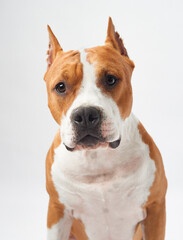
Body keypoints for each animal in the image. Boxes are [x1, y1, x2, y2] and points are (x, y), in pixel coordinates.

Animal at [44, 17, 167, 240]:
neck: (97, 158)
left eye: (110, 79)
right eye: (60, 86)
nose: (85, 115)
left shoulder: (155, 207)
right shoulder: (57, 211)